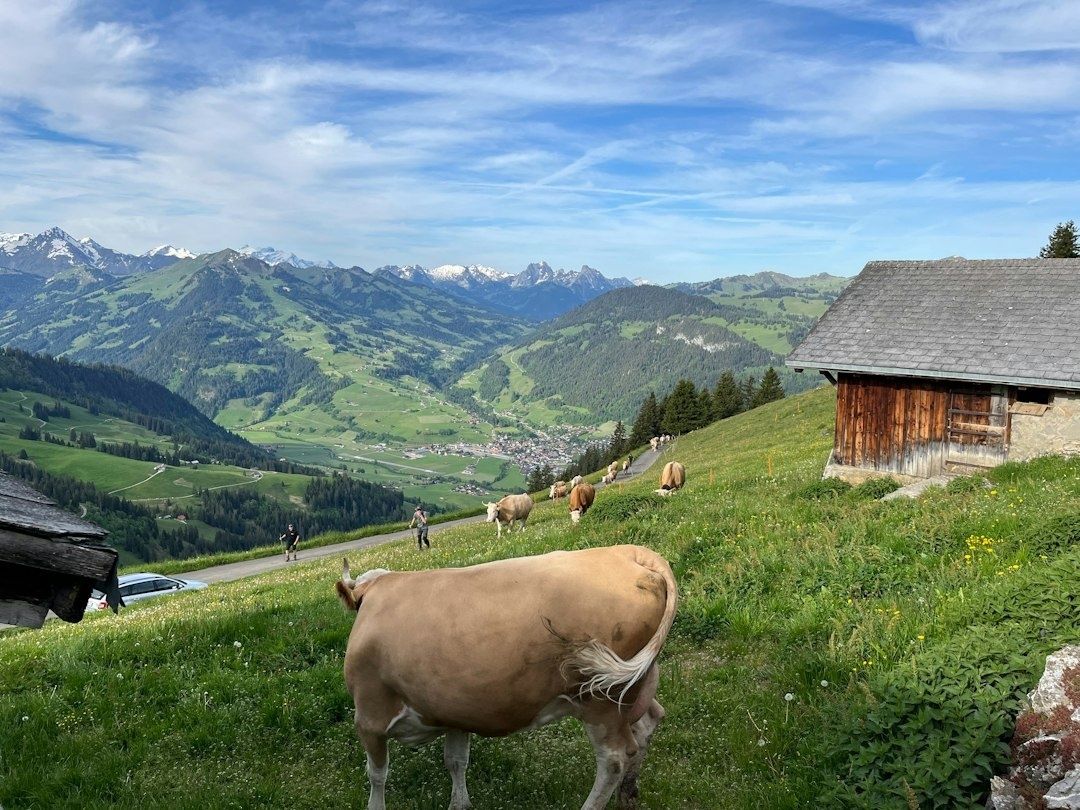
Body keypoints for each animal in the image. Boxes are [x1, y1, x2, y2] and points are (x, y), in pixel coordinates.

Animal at [335, 544, 677, 810]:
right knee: (648, 724)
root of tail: (628, 552)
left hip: (599, 702)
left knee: (614, 759)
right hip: (631, 686)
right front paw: (460, 803)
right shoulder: (452, 709)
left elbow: (377, 774)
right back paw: (627, 795)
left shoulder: (369, 717)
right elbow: (456, 761)